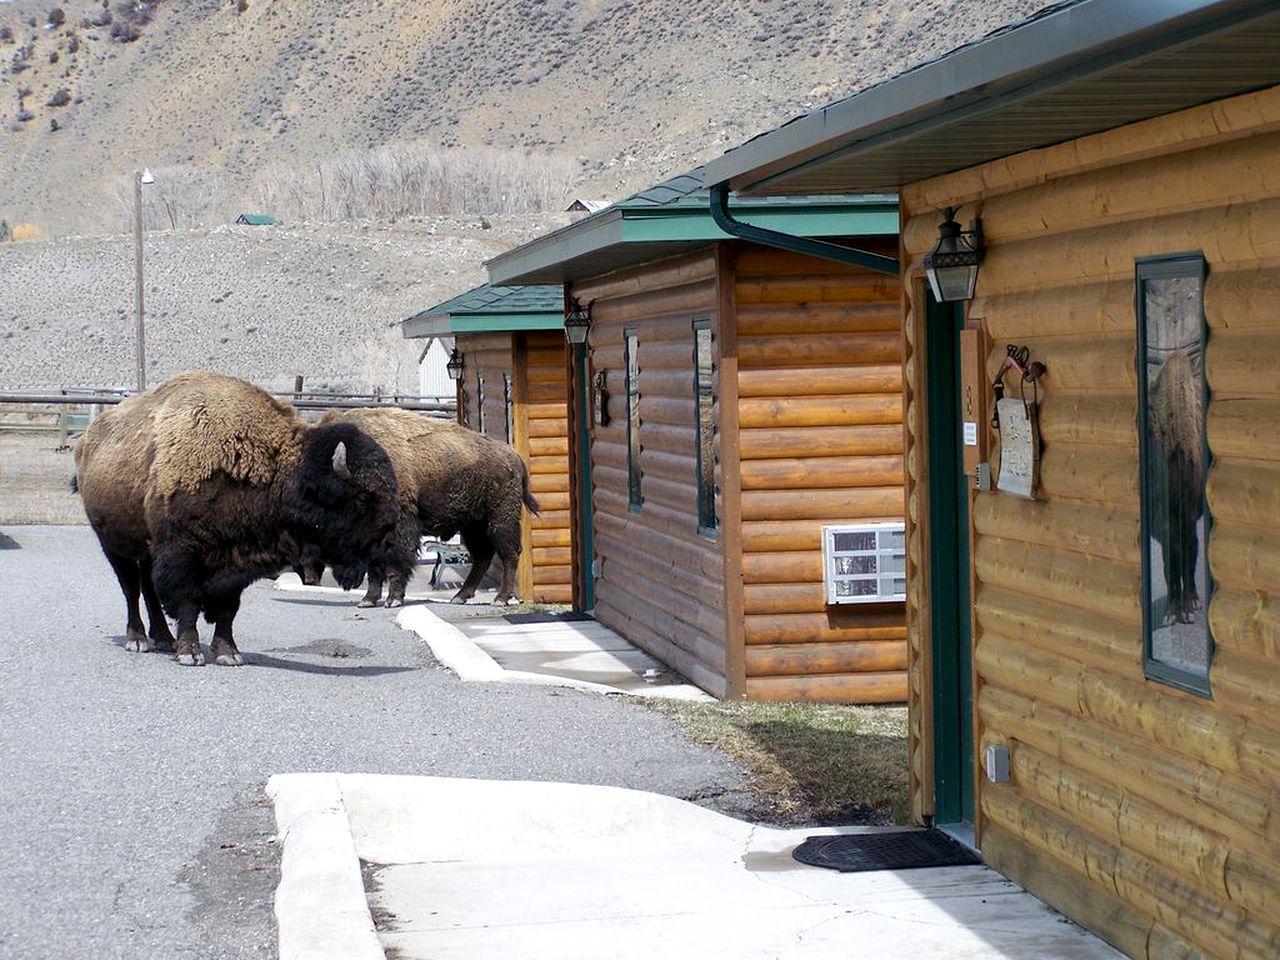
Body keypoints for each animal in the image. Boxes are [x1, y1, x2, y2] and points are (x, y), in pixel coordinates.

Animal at [77, 371, 396, 665]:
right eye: (363, 497)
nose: (390, 529)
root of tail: (87, 441)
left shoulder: (236, 561)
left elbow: (227, 608)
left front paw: (228, 653)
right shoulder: (181, 554)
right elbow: (187, 601)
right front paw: (191, 653)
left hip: (144, 551)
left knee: (147, 589)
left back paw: (164, 639)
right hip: (114, 546)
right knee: (131, 588)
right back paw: (138, 640)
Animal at [325, 407, 540, 609]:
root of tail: (514, 457)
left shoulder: (399, 528)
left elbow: (397, 561)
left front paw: (393, 600)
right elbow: (374, 568)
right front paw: (368, 600)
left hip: (500, 521)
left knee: (509, 555)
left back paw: (500, 599)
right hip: (472, 526)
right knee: (482, 557)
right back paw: (460, 597)